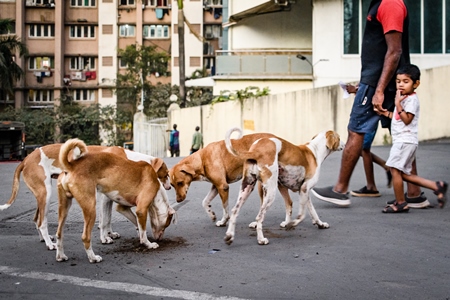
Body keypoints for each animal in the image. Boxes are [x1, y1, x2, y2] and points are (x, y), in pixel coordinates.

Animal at [0, 143, 171, 251]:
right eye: (166, 174)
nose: (169, 187)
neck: (128, 157)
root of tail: (25, 159)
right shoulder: (105, 197)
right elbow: (105, 220)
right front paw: (105, 238)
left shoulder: (108, 196)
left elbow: (107, 219)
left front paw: (110, 234)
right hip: (46, 194)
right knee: (42, 222)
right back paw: (50, 244)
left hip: (42, 195)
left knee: (36, 219)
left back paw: (45, 239)